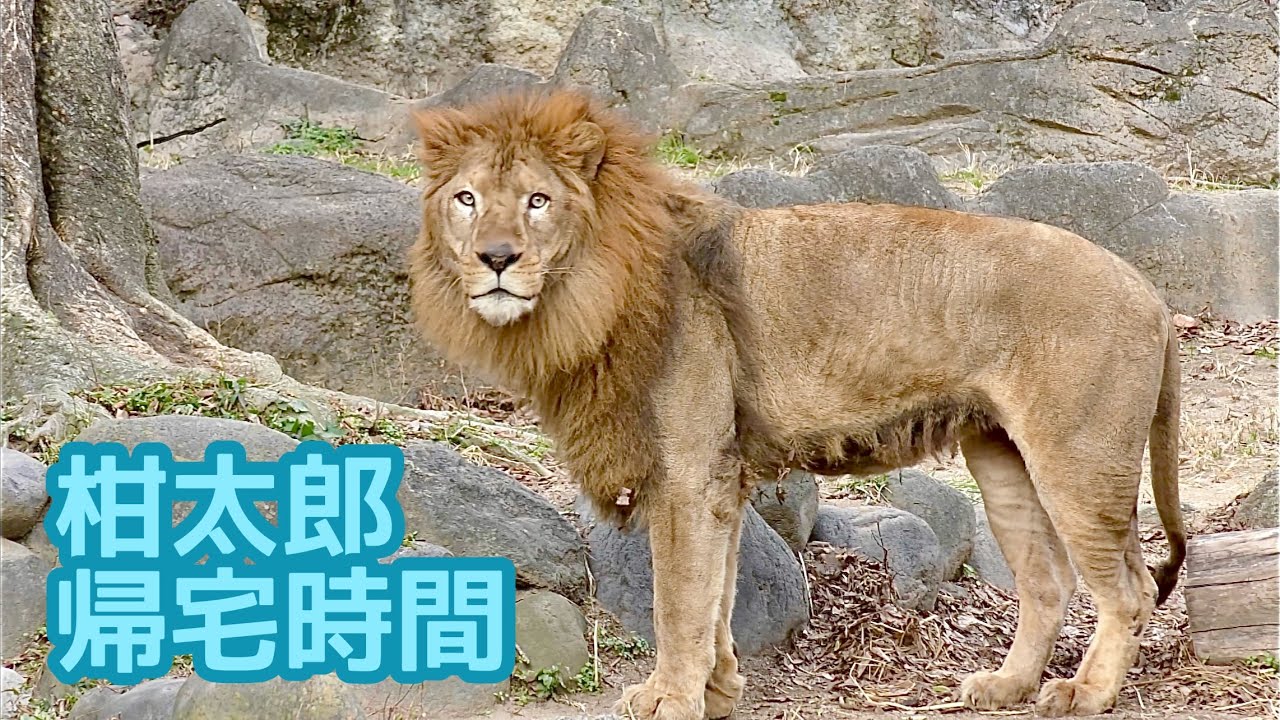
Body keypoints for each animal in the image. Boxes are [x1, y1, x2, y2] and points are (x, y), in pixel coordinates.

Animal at [407, 88, 1187, 720]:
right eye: (466, 199)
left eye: (537, 201)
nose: (496, 259)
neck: (586, 293)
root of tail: (1149, 291)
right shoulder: (720, 474)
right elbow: (717, 591)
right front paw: (718, 689)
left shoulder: (689, 470)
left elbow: (678, 599)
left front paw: (669, 697)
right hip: (1001, 456)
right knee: (1049, 582)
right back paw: (1006, 685)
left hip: (1076, 460)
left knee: (1130, 589)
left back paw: (1085, 693)